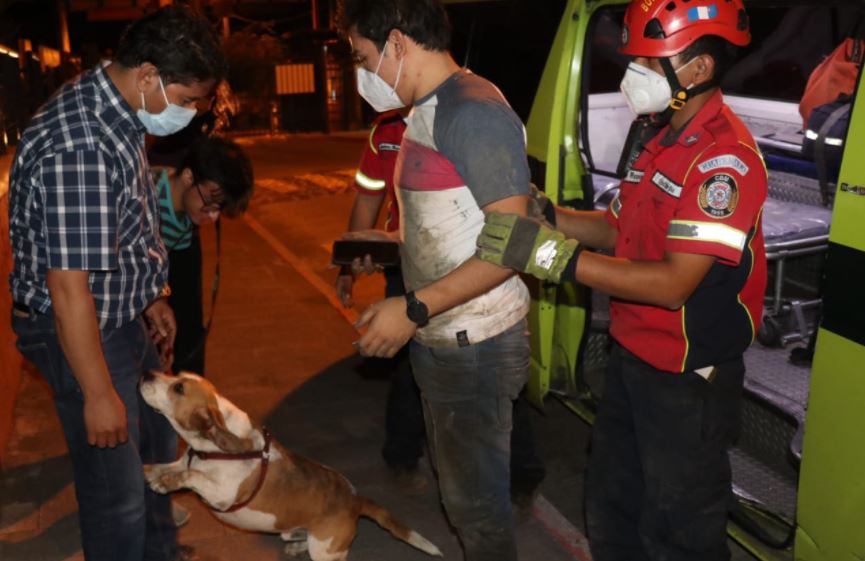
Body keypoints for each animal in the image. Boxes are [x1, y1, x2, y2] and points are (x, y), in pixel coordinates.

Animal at [141, 370, 442, 556]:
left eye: (179, 387)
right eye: (176, 373)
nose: (146, 373)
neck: (209, 450)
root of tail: (355, 500)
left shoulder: (223, 494)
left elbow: (194, 477)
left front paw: (166, 483)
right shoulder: (183, 462)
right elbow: (169, 467)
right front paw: (152, 473)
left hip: (326, 551)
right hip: (294, 532)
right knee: (296, 536)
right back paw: (297, 546)